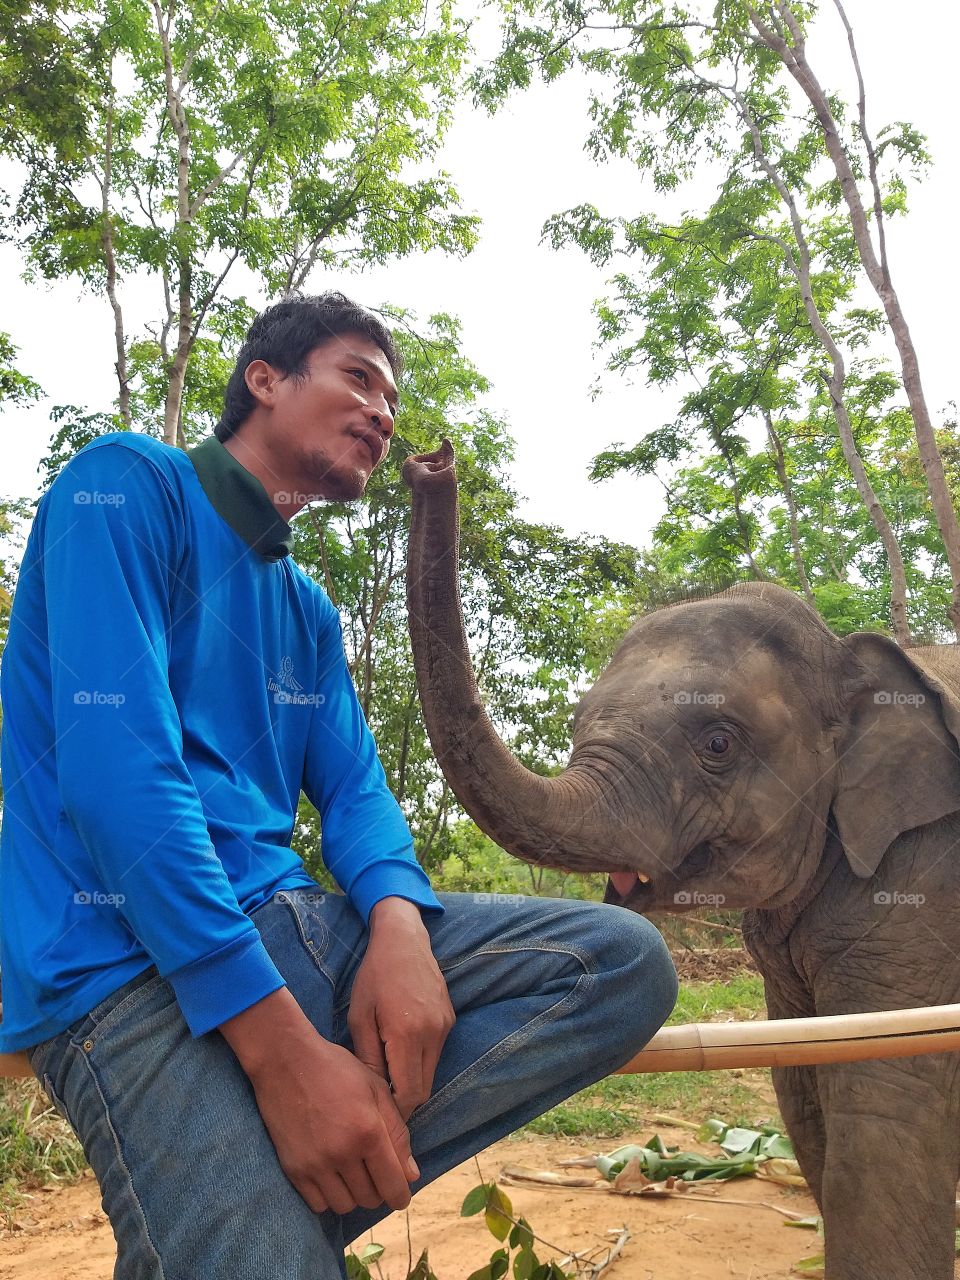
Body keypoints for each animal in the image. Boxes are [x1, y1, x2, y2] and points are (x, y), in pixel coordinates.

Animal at [402, 441, 960, 1280]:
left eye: (718, 743)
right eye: (577, 720)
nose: (428, 460)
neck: (849, 654)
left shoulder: (920, 881)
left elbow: (881, 1113)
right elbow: (803, 1093)